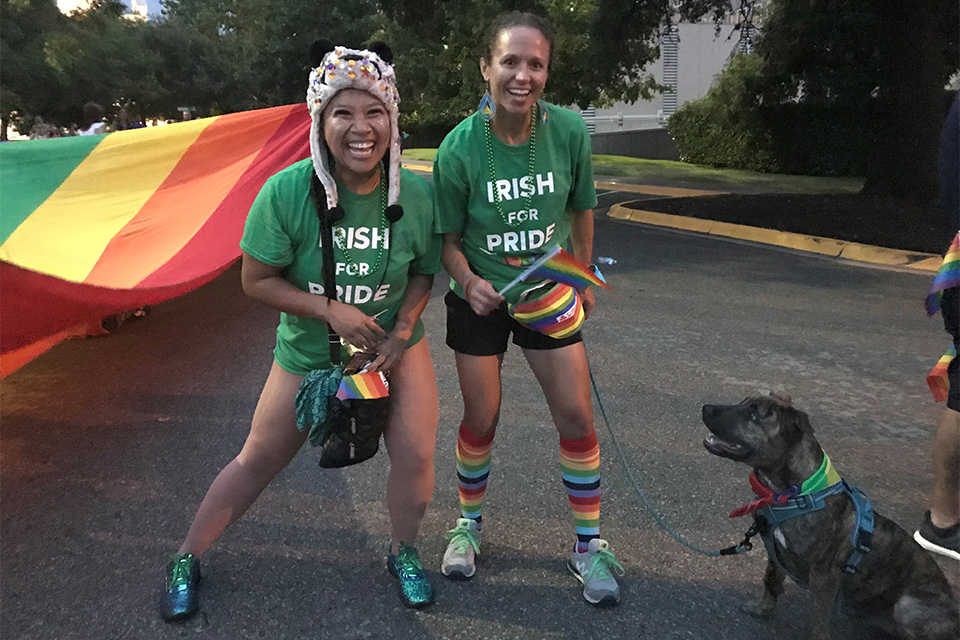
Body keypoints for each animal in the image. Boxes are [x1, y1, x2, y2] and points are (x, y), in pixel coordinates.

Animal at [700, 392, 956, 636]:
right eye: (742, 402)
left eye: (753, 414)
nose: (706, 408)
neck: (792, 493)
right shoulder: (775, 553)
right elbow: (771, 581)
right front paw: (762, 609)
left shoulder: (824, 575)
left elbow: (820, 621)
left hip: (906, 606)